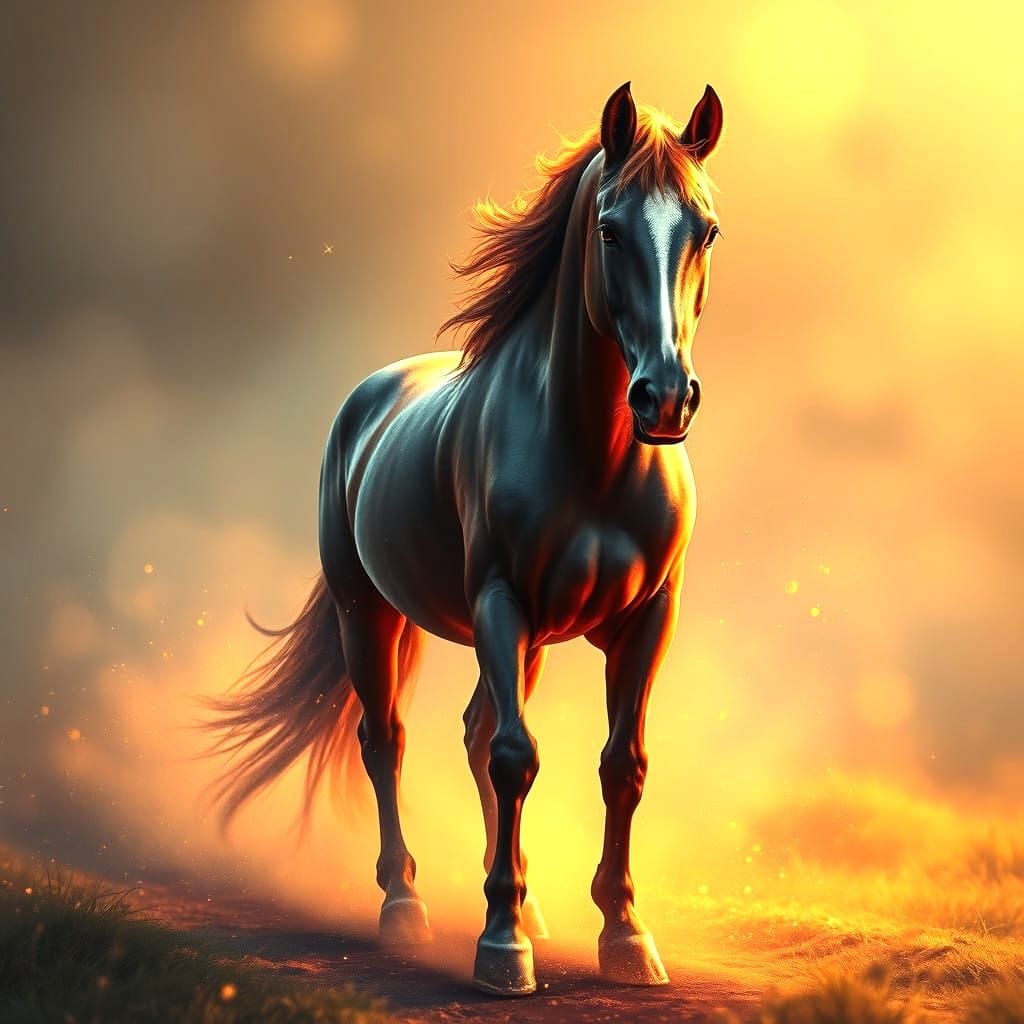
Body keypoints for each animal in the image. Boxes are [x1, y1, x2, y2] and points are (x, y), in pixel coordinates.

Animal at [205, 81, 724, 997]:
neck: (592, 455)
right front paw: (501, 950)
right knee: (389, 740)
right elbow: (517, 756)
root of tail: (368, 398)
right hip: (369, 616)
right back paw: (405, 908)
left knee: (476, 731)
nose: (665, 398)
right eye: (609, 229)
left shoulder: (646, 620)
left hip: (529, 640)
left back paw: (525, 899)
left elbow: (620, 764)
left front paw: (624, 935)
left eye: (707, 230)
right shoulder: (500, 603)